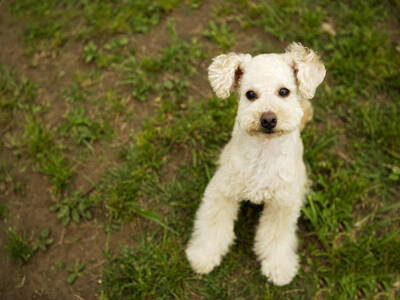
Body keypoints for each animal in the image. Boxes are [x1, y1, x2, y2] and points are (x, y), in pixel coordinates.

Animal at [186, 42, 326, 286]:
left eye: (284, 91)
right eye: (250, 94)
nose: (268, 119)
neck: (263, 152)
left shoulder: (282, 203)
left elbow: (277, 235)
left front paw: (278, 267)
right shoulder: (221, 191)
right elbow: (213, 223)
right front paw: (204, 255)